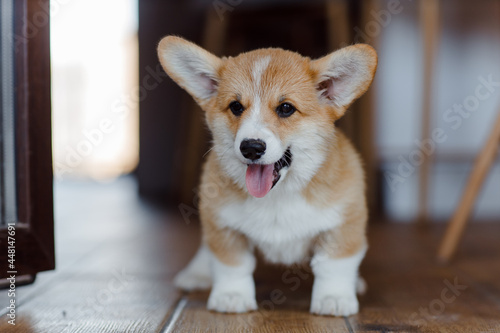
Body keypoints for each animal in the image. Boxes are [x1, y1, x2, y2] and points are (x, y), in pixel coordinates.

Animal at [158, 35, 376, 316]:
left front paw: (334, 298)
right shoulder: (222, 224)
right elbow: (232, 264)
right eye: (236, 106)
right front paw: (231, 295)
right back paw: (197, 274)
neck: (277, 196)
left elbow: (333, 264)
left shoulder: (344, 222)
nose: (251, 147)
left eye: (286, 108)